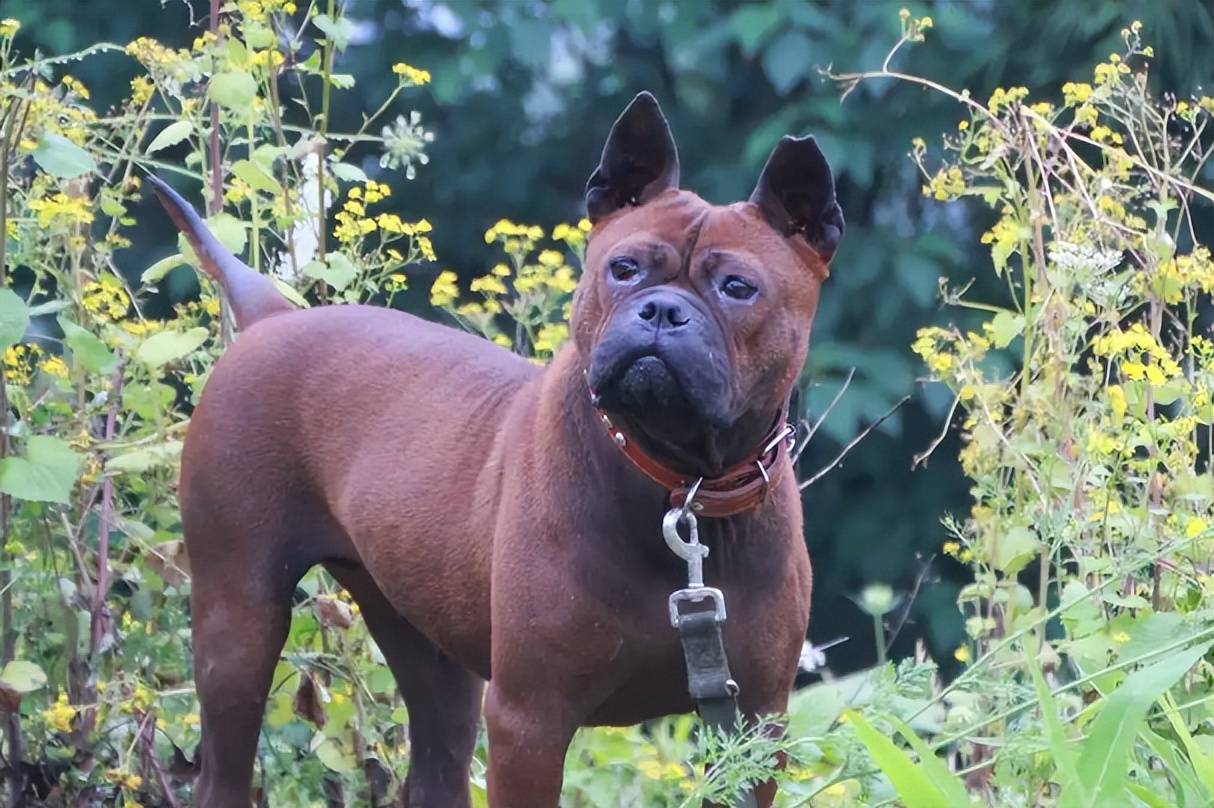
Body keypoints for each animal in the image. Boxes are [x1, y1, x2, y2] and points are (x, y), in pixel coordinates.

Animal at [151, 90, 844, 800]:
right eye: (624, 269)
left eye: (738, 288)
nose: (660, 311)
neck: (681, 482)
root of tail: (272, 318)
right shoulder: (529, 721)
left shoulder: (753, 726)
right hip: (239, 620)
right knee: (224, 764)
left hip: (428, 653)